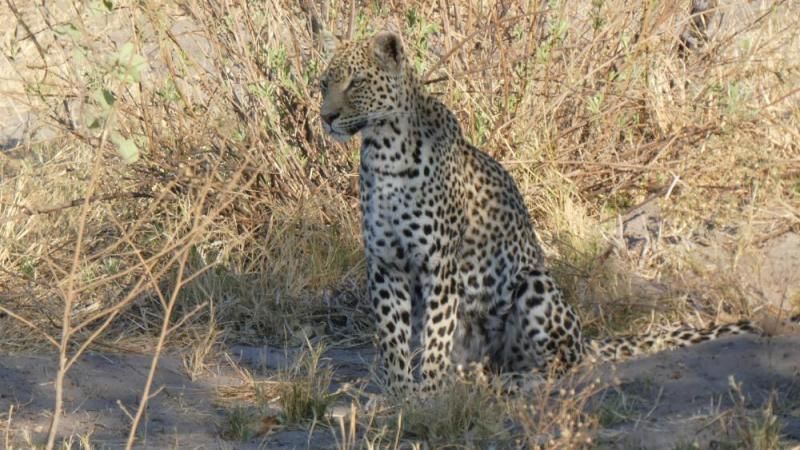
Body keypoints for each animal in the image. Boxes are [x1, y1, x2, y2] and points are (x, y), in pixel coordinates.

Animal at [318, 30, 791, 396]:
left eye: (356, 82)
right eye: (324, 84)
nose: (326, 117)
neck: (385, 150)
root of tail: (586, 340)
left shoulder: (439, 264)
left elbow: (435, 335)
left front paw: (429, 393)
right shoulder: (385, 264)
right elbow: (393, 336)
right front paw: (400, 393)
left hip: (535, 285)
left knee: (560, 366)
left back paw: (508, 383)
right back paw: (472, 378)